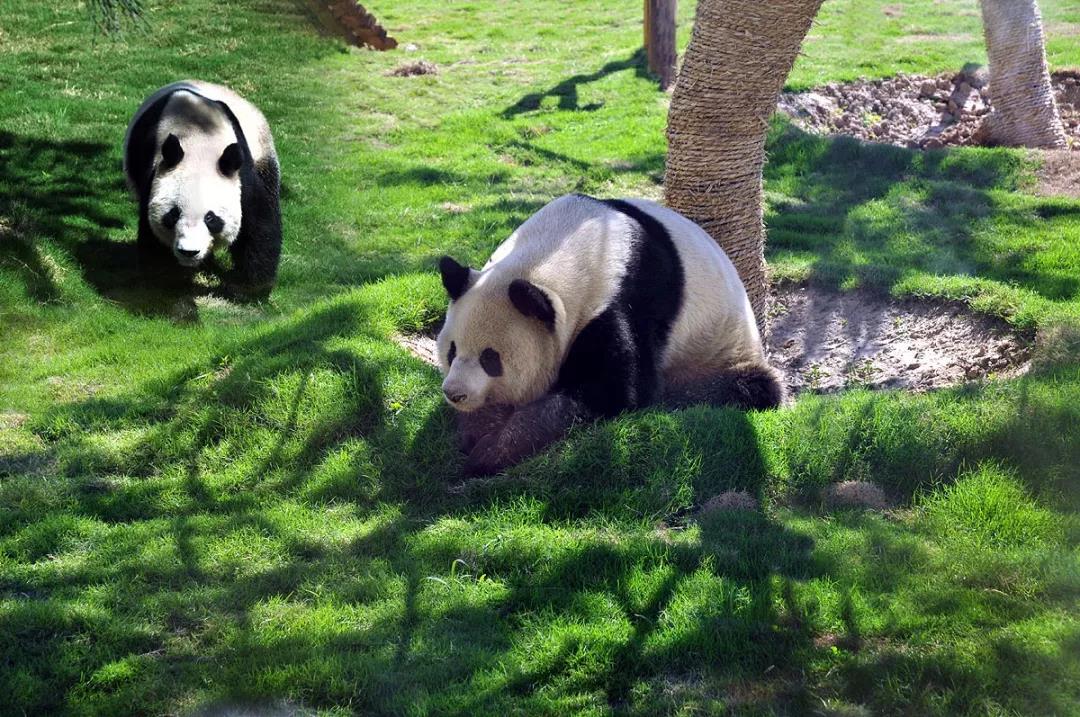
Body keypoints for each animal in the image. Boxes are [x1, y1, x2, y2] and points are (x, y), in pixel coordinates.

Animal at [123, 80, 282, 295]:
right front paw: (166, 282)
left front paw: (248, 286)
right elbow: (152, 234)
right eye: (173, 214)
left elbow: (257, 221)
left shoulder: (240, 170)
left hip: (262, 148)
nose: (189, 252)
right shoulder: (153, 172)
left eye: (211, 218)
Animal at [438, 193, 786, 479]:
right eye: (452, 351)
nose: (454, 393)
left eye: (490, 359)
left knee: (749, 387)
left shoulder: (625, 299)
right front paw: (479, 428)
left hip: (718, 350)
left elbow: (613, 392)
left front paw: (490, 451)